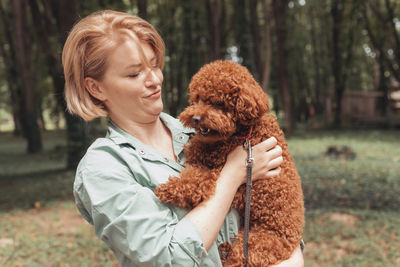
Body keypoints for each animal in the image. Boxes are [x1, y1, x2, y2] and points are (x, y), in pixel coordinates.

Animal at [155, 59, 304, 266]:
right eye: (197, 99)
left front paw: (170, 189)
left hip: (255, 245)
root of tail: (292, 240)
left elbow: (200, 180)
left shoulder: (228, 176)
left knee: (237, 259)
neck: (245, 132)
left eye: (218, 103)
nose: (195, 118)